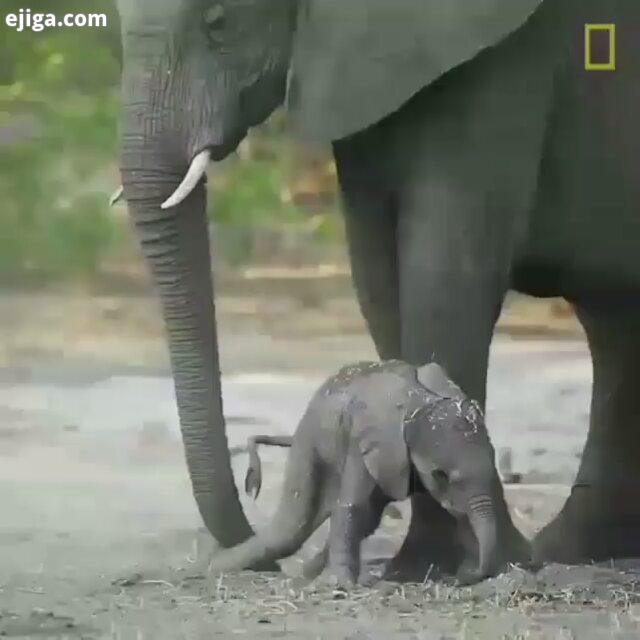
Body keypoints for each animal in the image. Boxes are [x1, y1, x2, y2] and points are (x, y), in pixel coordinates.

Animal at [210, 360, 528, 584]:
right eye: (440, 475)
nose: (463, 576)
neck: (418, 404)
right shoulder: (365, 441)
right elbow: (354, 506)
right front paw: (340, 586)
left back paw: (308, 573)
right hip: (311, 443)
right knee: (293, 526)